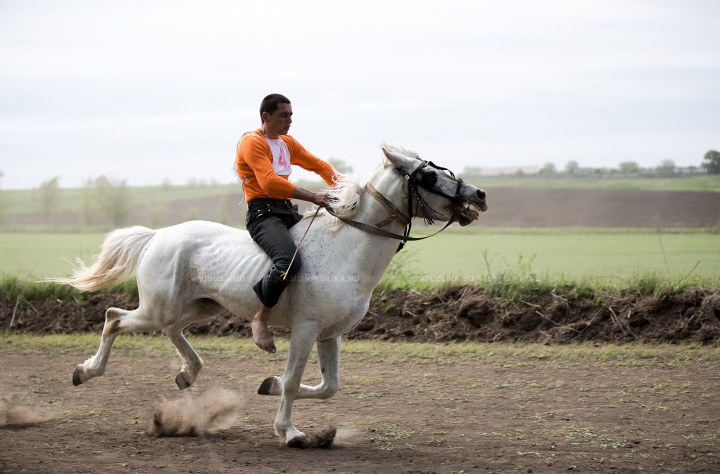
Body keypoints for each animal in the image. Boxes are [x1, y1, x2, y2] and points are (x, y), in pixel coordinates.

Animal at [54, 147, 484, 448]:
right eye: (429, 175)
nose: (479, 194)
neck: (349, 248)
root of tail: (158, 234)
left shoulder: (330, 335)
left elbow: (328, 386)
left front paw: (269, 385)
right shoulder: (306, 330)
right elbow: (294, 381)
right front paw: (290, 433)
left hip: (200, 306)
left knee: (171, 331)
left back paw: (187, 373)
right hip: (157, 309)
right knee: (113, 317)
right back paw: (84, 372)